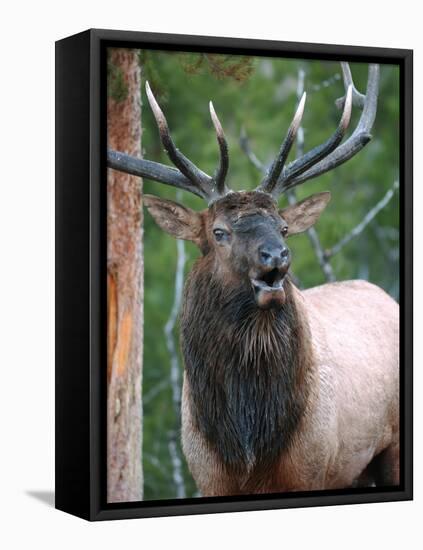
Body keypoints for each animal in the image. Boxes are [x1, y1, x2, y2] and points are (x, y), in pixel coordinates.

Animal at [107, 62, 400, 498]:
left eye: (283, 226)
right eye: (219, 232)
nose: (277, 255)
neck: (248, 445)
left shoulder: (312, 470)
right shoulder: (208, 477)